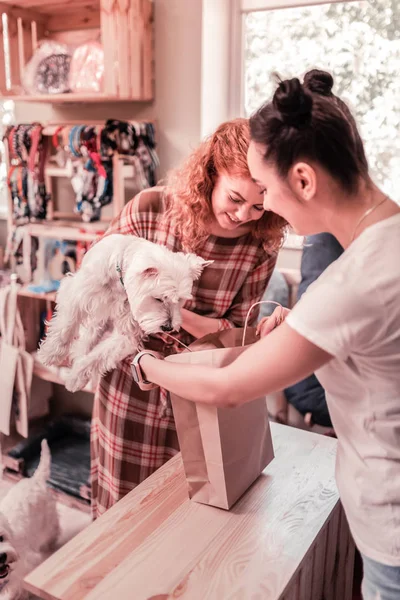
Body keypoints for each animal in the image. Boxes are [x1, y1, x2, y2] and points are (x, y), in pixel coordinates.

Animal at [37, 232, 212, 392]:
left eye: (180, 299)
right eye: (159, 298)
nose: (168, 328)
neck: (121, 286)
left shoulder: (130, 331)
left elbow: (99, 356)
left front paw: (76, 378)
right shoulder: (78, 293)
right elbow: (66, 326)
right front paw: (51, 354)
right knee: (85, 339)